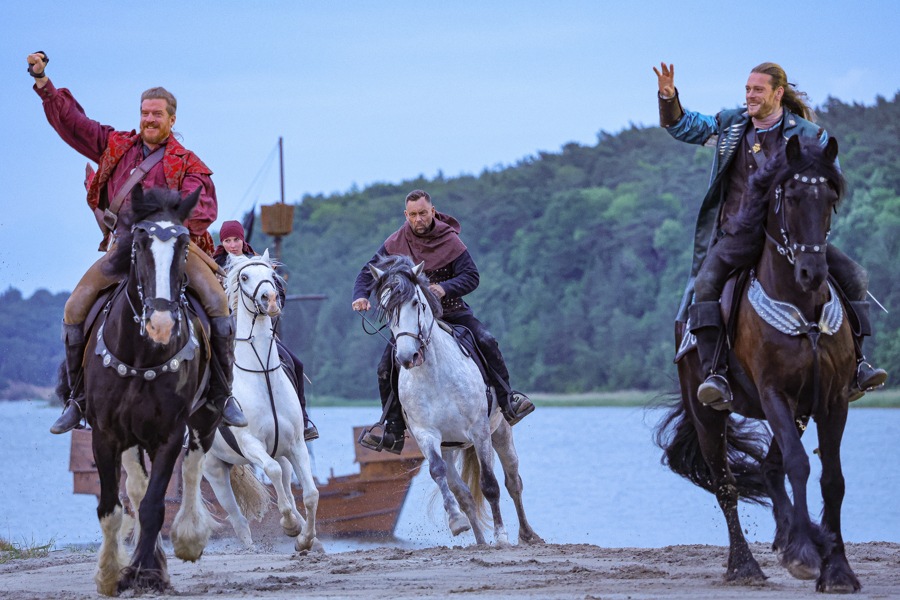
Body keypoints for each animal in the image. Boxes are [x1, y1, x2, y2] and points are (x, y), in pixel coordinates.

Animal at [59, 188, 219, 596]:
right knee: (135, 486)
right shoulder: (106, 434)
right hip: (132, 437)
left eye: (184, 244)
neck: (142, 353)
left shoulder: (170, 433)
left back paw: (188, 538)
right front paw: (110, 574)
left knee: (192, 469)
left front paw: (147, 573)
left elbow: (154, 505)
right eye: (139, 243)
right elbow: (113, 506)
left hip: (205, 419)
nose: (161, 323)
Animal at [201, 251, 324, 552]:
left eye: (271, 274)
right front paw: (289, 526)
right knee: (237, 517)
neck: (262, 374)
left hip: (280, 453)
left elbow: (311, 493)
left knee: (287, 484)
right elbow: (271, 471)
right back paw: (251, 546)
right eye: (244, 276)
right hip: (214, 468)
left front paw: (305, 539)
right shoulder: (250, 443)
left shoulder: (296, 444)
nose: (270, 299)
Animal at [370, 255, 544, 548]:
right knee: (463, 493)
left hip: (501, 432)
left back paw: (527, 534)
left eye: (415, 302)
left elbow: (490, 484)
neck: (435, 375)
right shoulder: (426, 435)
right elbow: (438, 473)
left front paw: (501, 536)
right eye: (384, 306)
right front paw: (455, 521)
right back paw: (479, 540)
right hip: (450, 446)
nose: (406, 357)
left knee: (512, 482)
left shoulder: (480, 430)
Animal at [656, 137, 860, 596]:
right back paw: (745, 565)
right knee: (726, 485)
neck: (804, 310)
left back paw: (789, 536)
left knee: (769, 468)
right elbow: (800, 465)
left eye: (830, 199)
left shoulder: (833, 399)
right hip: (708, 416)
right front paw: (804, 555)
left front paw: (837, 569)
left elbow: (832, 479)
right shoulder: (773, 394)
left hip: (800, 409)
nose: (812, 271)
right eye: (791, 197)